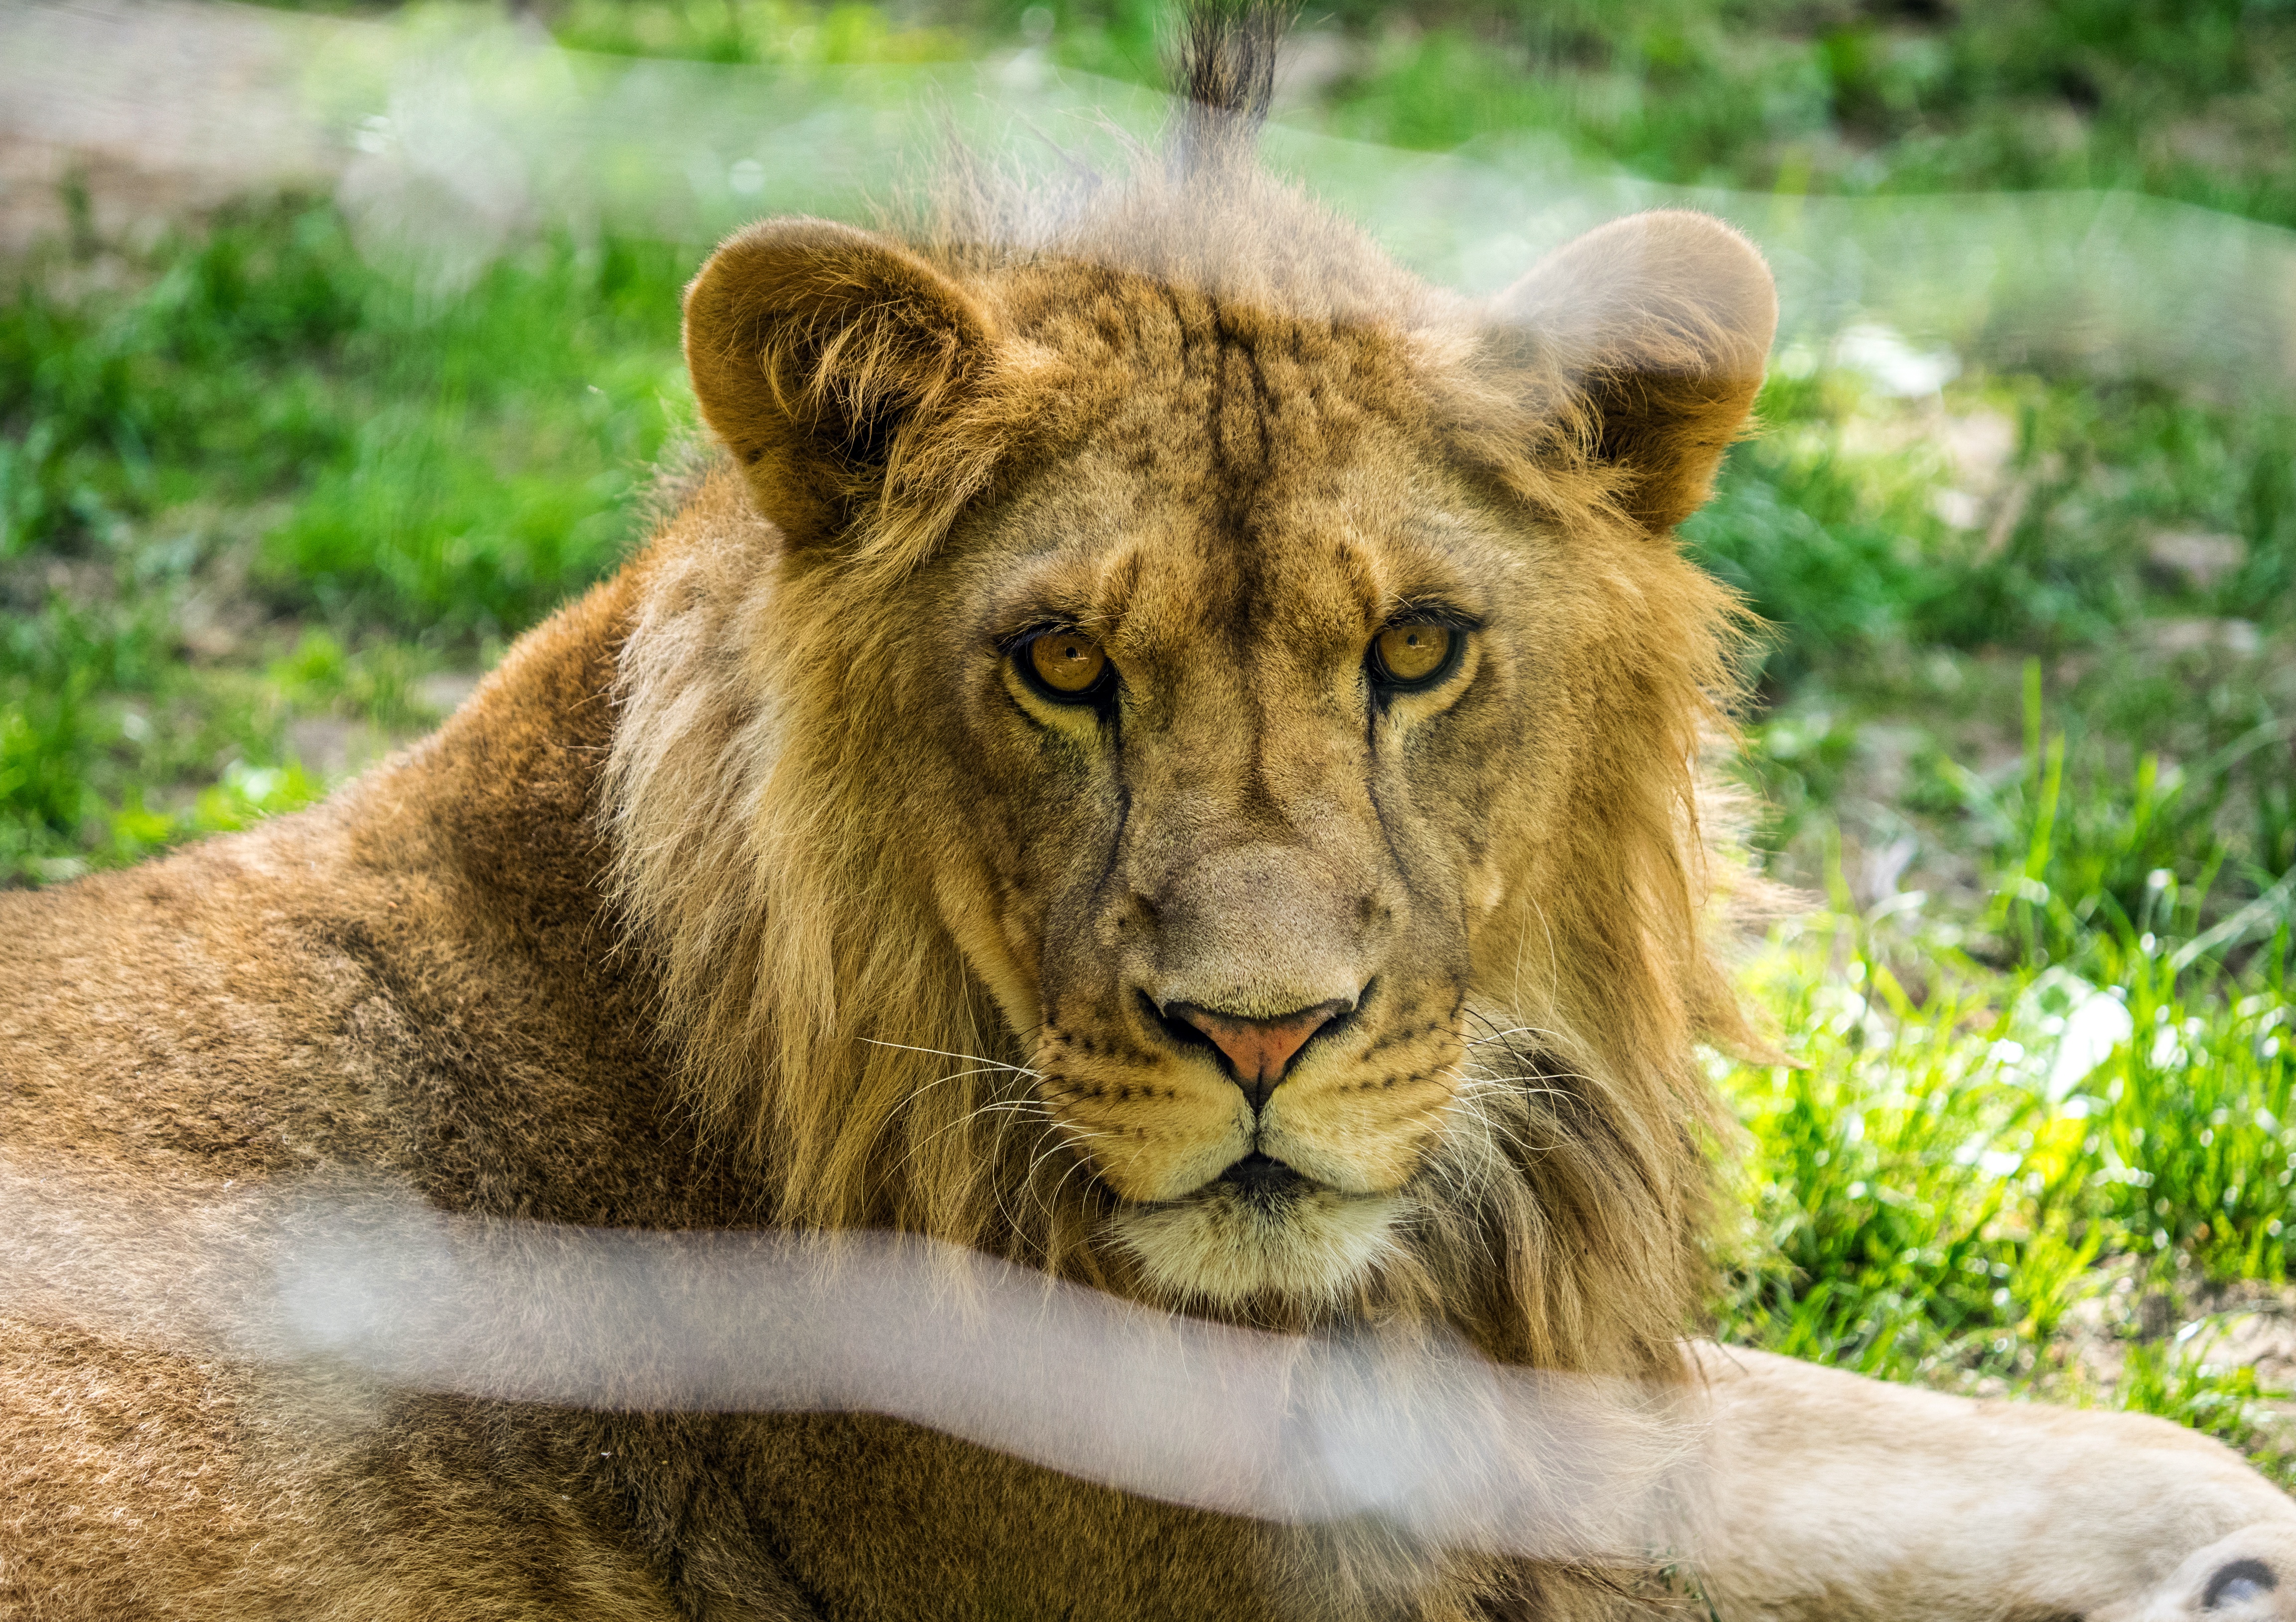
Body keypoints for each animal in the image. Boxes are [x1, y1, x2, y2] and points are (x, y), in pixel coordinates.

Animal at [4, 12, 2296, 1622]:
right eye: (1059, 665)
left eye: (1416, 650)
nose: (1258, 1035)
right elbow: (1695, 1488)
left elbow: (1789, 1437)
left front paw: (2221, 1525)